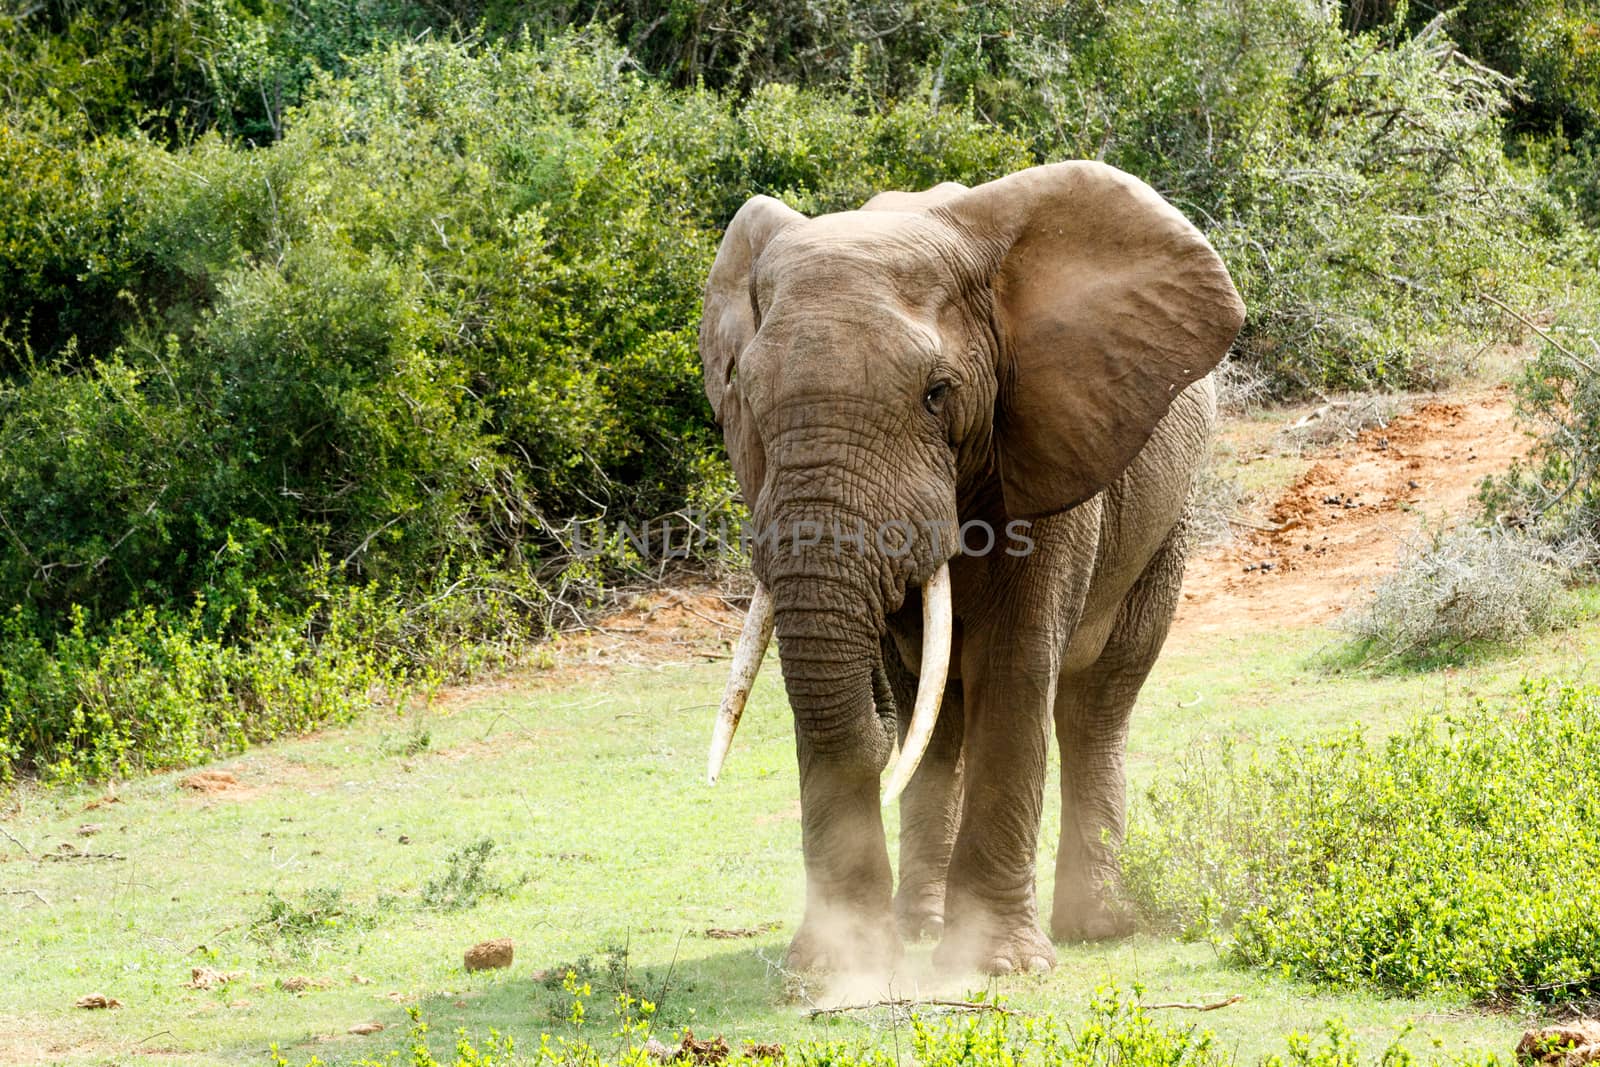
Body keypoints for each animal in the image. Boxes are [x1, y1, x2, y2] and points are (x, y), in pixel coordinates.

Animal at [704, 160, 1248, 979]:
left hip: (1167, 522)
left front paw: (999, 967)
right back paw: (921, 923)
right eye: (747, 396)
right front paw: (836, 971)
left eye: (937, 394)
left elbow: (1015, 665)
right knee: (934, 712)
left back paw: (1097, 925)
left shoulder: (1047, 442)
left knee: (1094, 705)